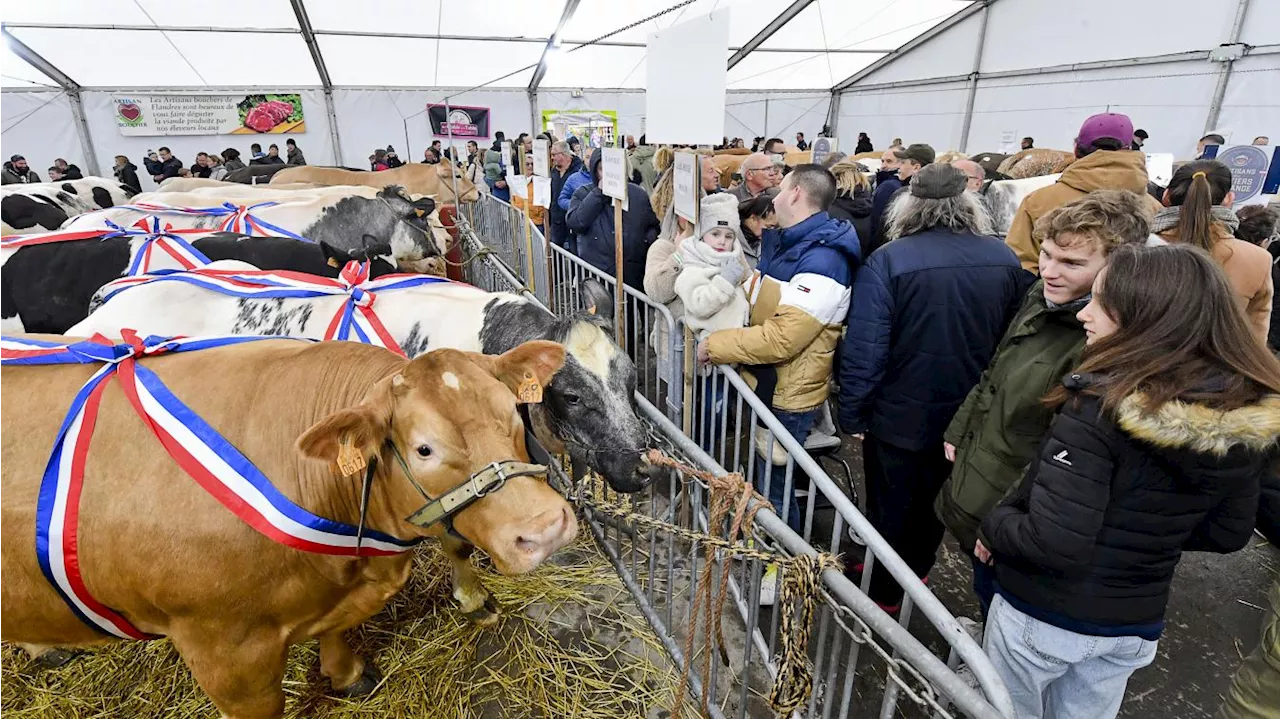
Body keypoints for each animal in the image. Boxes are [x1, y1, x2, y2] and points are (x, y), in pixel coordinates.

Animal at [0, 337, 573, 716]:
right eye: (423, 450)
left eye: (515, 410)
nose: (545, 529)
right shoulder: (226, 659)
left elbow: (341, 630)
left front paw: (348, 675)